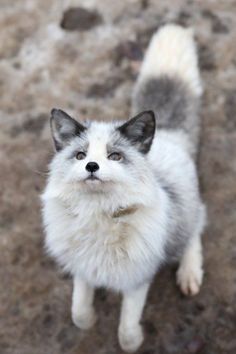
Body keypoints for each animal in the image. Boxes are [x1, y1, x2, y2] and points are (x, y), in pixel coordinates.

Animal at [42, 24, 206, 352]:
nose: (92, 167)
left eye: (115, 156)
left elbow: (127, 330)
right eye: (80, 156)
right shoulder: (83, 266)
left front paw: (133, 341)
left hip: (186, 214)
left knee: (196, 229)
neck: (99, 216)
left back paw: (189, 272)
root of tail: (168, 133)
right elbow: (78, 311)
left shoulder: (137, 278)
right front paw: (88, 320)